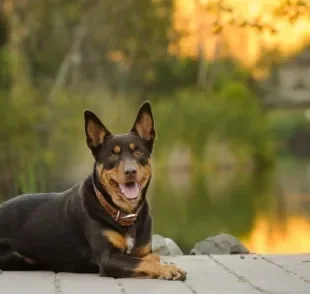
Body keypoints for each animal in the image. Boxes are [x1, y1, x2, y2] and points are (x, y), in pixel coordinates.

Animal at [0, 101, 186, 280]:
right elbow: (143, 262)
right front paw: (168, 269)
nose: (130, 171)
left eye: (138, 152)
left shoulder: (142, 251)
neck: (124, 214)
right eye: (112, 156)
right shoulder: (108, 259)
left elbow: (152, 257)